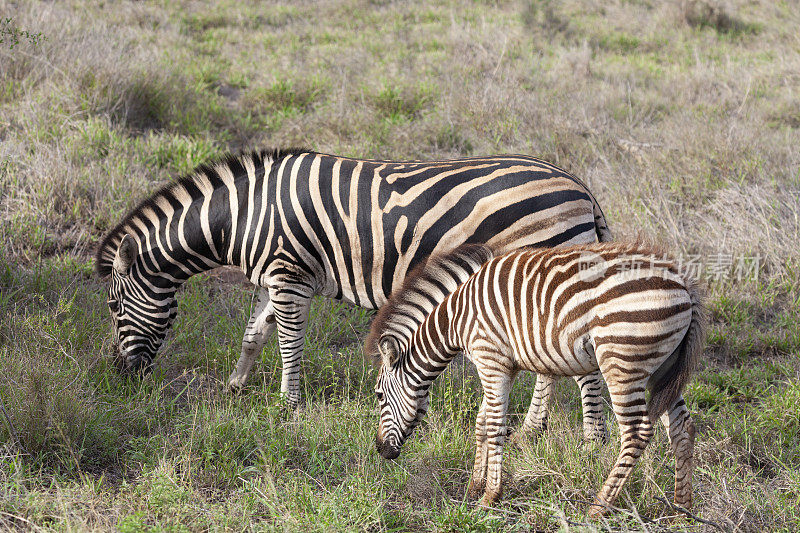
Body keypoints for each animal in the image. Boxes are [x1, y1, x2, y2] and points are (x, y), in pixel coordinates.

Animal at [98, 148, 612, 410]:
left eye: (114, 307)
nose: (122, 376)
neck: (242, 216)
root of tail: (580, 187)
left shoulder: (288, 274)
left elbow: (288, 344)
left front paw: (289, 409)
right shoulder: (274, 277)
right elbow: (253, 334)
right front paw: (236, 387)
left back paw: (570, 437)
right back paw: (532, 430)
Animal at [370, 243, 708, 512]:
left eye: (378, 396)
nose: (380, 451)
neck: (455, 319)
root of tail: (684, 284)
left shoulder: (490, 360)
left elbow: (494, 426)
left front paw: (490, 497)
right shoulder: (504, 366)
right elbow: (482, 422)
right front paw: (474, 486)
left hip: (622, 362)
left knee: (637, 433)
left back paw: (598, 508)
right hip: (661, 370)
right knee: (683, 428)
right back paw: (681, 508)